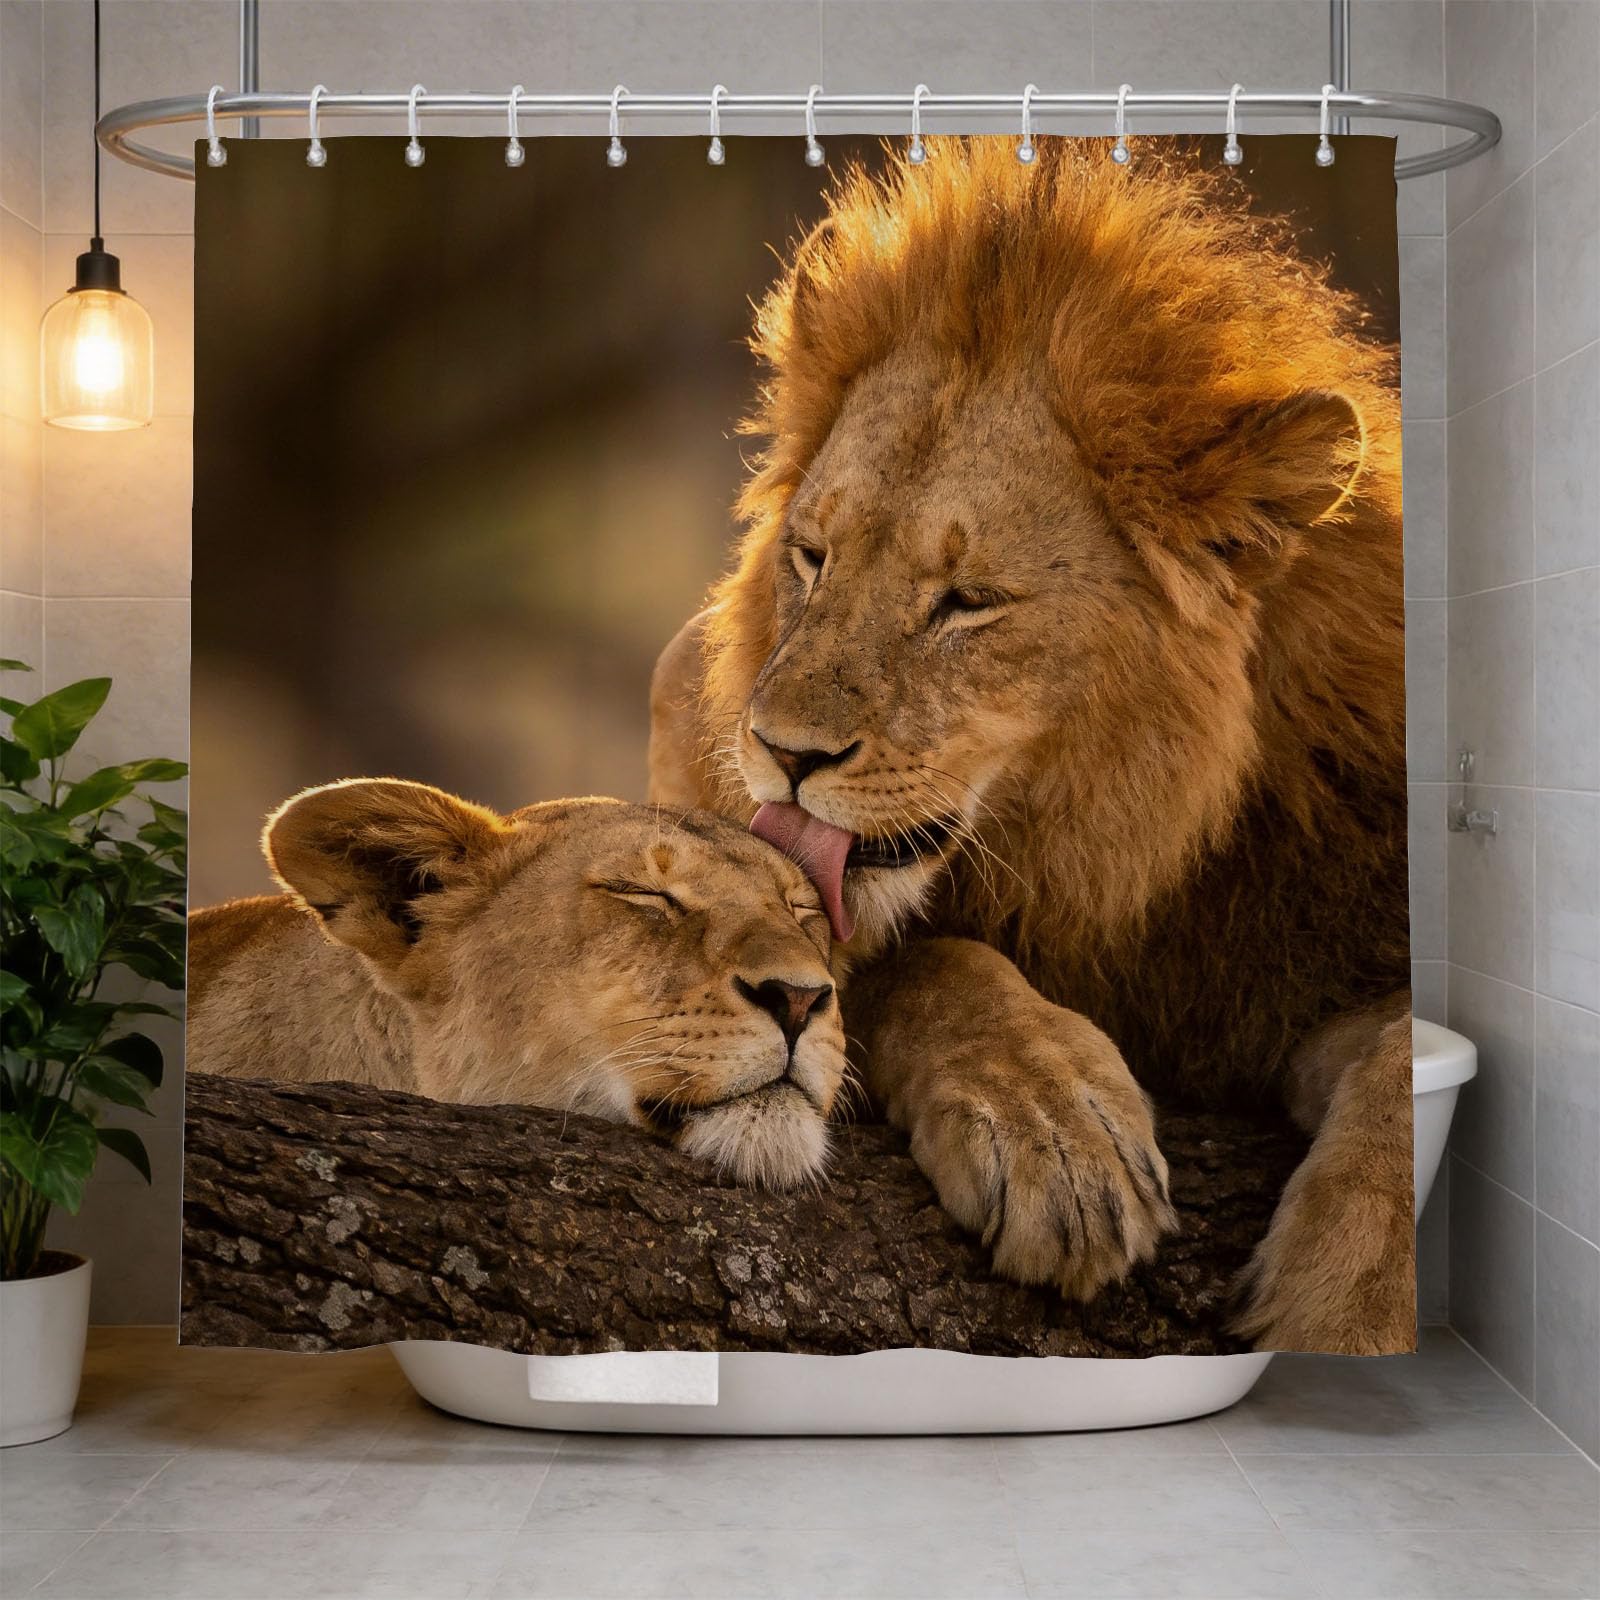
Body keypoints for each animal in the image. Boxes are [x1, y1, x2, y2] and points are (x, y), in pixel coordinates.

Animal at [648, 139, 1414, 1351]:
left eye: (966, 602)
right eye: (812, 556)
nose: (779, 751)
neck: (1114, 850)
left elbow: (1411, 1053)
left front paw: (1357, 1306)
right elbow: (929, 961)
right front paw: (1053, 1125)